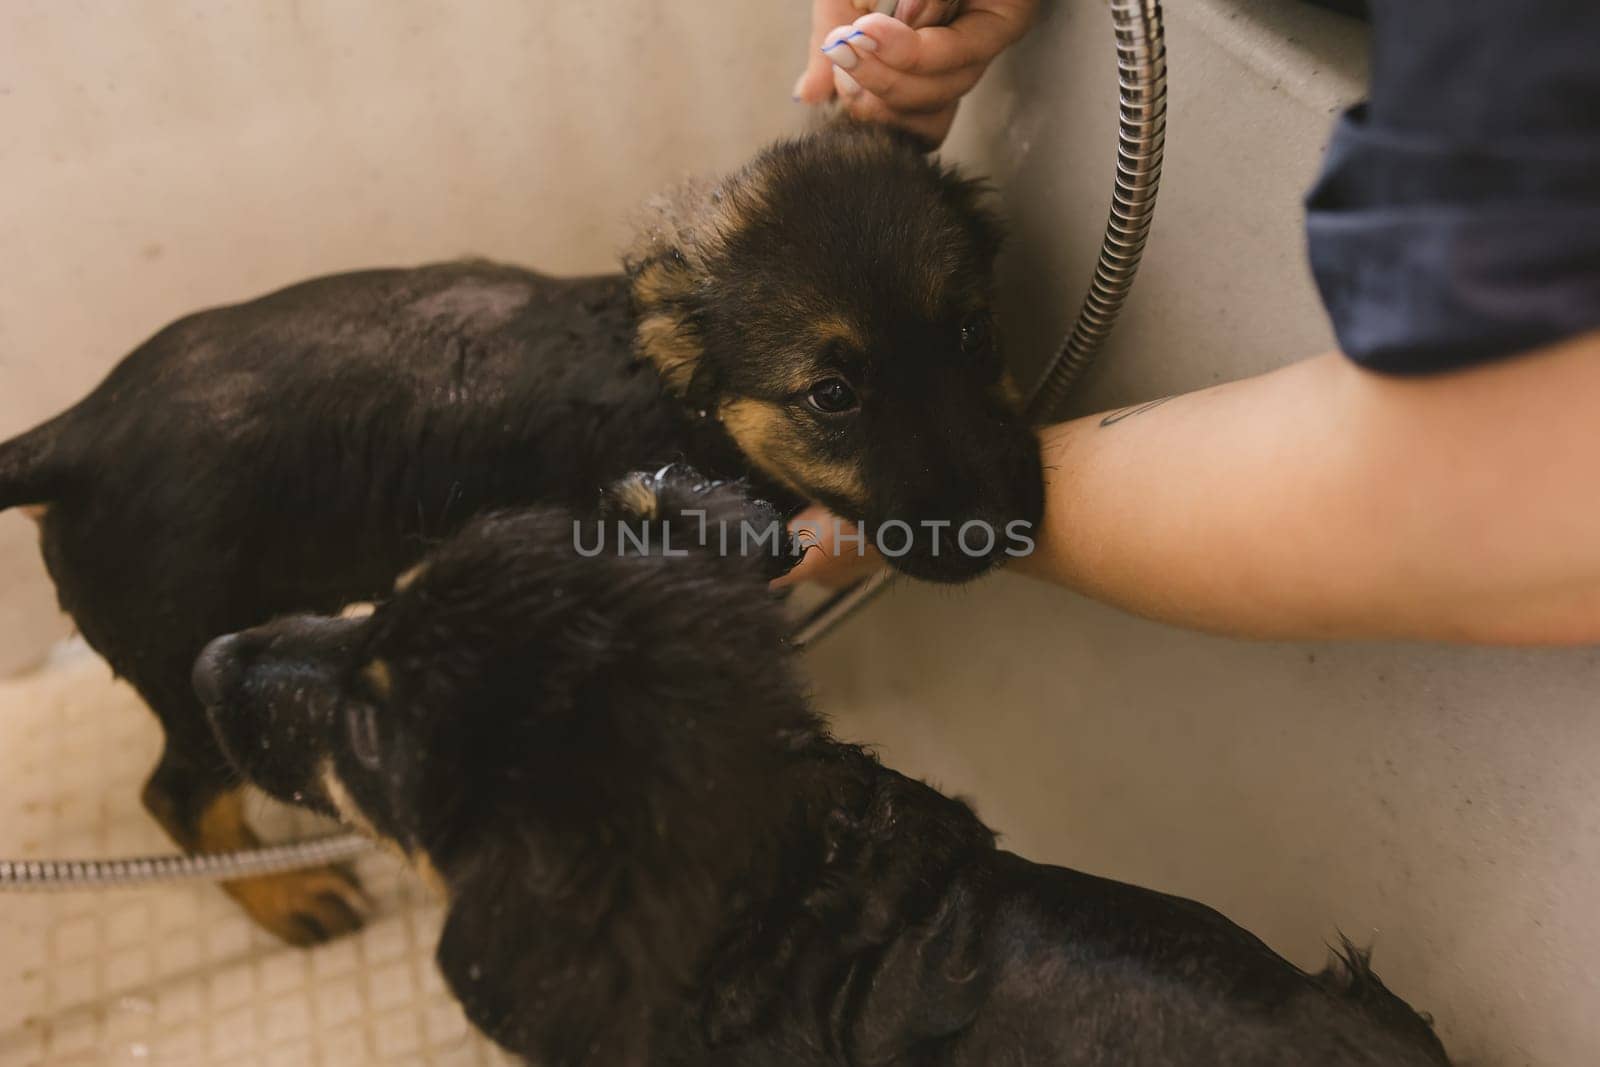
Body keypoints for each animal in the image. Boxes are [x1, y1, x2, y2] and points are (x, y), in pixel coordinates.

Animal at [0, 120, 1036, 940]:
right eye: (831, 394)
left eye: (975, 334)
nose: (1001, 530)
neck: (676, 392)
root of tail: (79, 434)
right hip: (183, 659)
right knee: (175, 796)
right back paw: (292, 895)